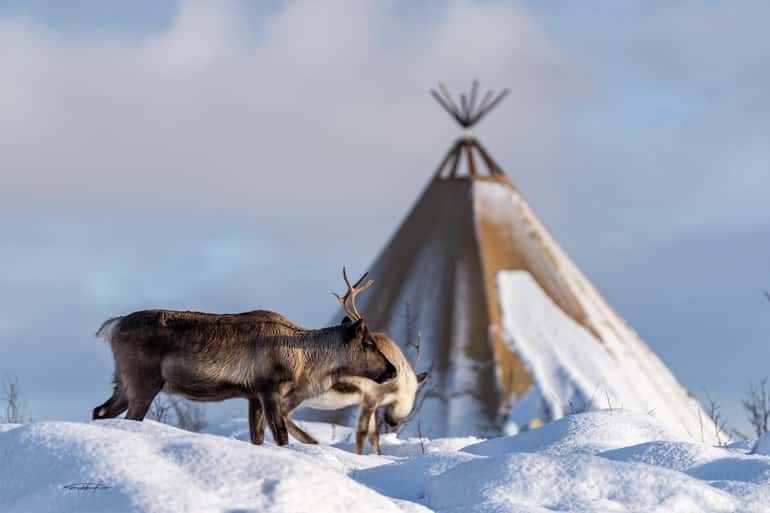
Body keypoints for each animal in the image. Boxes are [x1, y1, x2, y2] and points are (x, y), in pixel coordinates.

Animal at [91, 268, 397, 447]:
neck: (305, 359)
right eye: (368, 343)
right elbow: (281, 436)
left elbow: (258, 438)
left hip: (122, 382)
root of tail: (113, 326)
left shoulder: (252, 395)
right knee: (126, 417)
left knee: (99, 411)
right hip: (143, 381)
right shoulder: (270, 388)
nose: (392, 370)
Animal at [251, 269, 429, 454]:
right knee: (282, 415)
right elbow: (362, 434)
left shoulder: (368, 402)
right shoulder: (371, 398)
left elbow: (374, 436)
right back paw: (311, 441)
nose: (393, 421)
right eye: (413, 394)